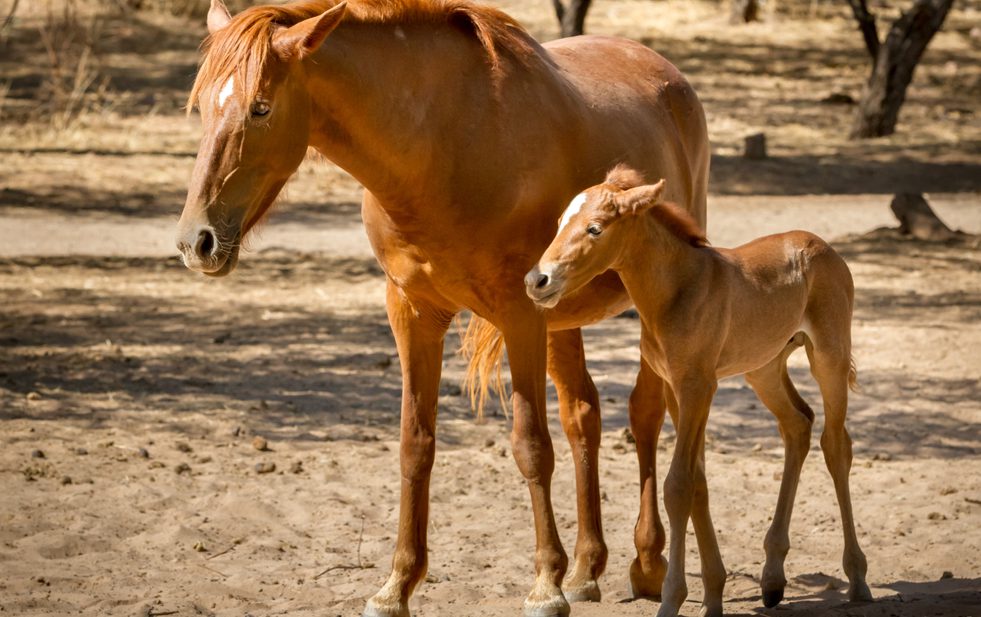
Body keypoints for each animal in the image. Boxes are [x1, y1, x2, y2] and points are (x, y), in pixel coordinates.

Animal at [175, 1, 710, 615]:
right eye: (201, 107)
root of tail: (666, 73)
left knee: (645, 415)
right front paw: (397, 584)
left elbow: (531, 446)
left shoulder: (520, 315)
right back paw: (586, 567)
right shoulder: (413, 314)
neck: (442, 145)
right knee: (584, 418)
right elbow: (416, 445)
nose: (196, 241)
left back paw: (645, 562)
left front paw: (545, 584)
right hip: (561, 318)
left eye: (260, 107)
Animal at [525, 167, 873, 617]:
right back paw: (772, 578)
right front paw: (713, 595)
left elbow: (677, 486)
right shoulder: (677, 389)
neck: (677, 290)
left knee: (836, 445)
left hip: (829, 356)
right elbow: (698, 484)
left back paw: (857, 577)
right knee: (798, 424)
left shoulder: (697, 386)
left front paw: (672, 599)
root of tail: (824, 246)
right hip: (763, 368)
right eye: (558, 224)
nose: (537, 280)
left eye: (595, 228)